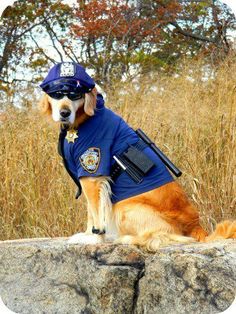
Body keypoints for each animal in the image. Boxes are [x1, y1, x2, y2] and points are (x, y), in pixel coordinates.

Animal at [39, 62, 236, 251]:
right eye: (57, 95)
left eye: (74, 95)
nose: (64, 113)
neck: (82, 120)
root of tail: (196, 226)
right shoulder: (89, 179)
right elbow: (91, 212)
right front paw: (88, 234)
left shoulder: (93, 173)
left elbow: (96, 214)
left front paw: (94, 239)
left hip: (125, 207)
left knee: (162, 236)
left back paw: (126, 238)